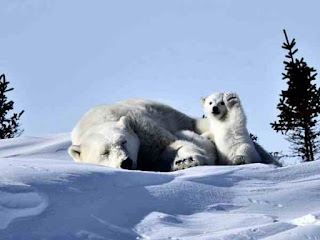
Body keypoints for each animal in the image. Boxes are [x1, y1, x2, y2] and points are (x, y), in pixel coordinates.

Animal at [69, 98, 215, 172]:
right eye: (104, 152)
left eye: (124, 141)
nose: (126, 162)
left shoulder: (141, 128)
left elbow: (170, 144)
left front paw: (186, 161)